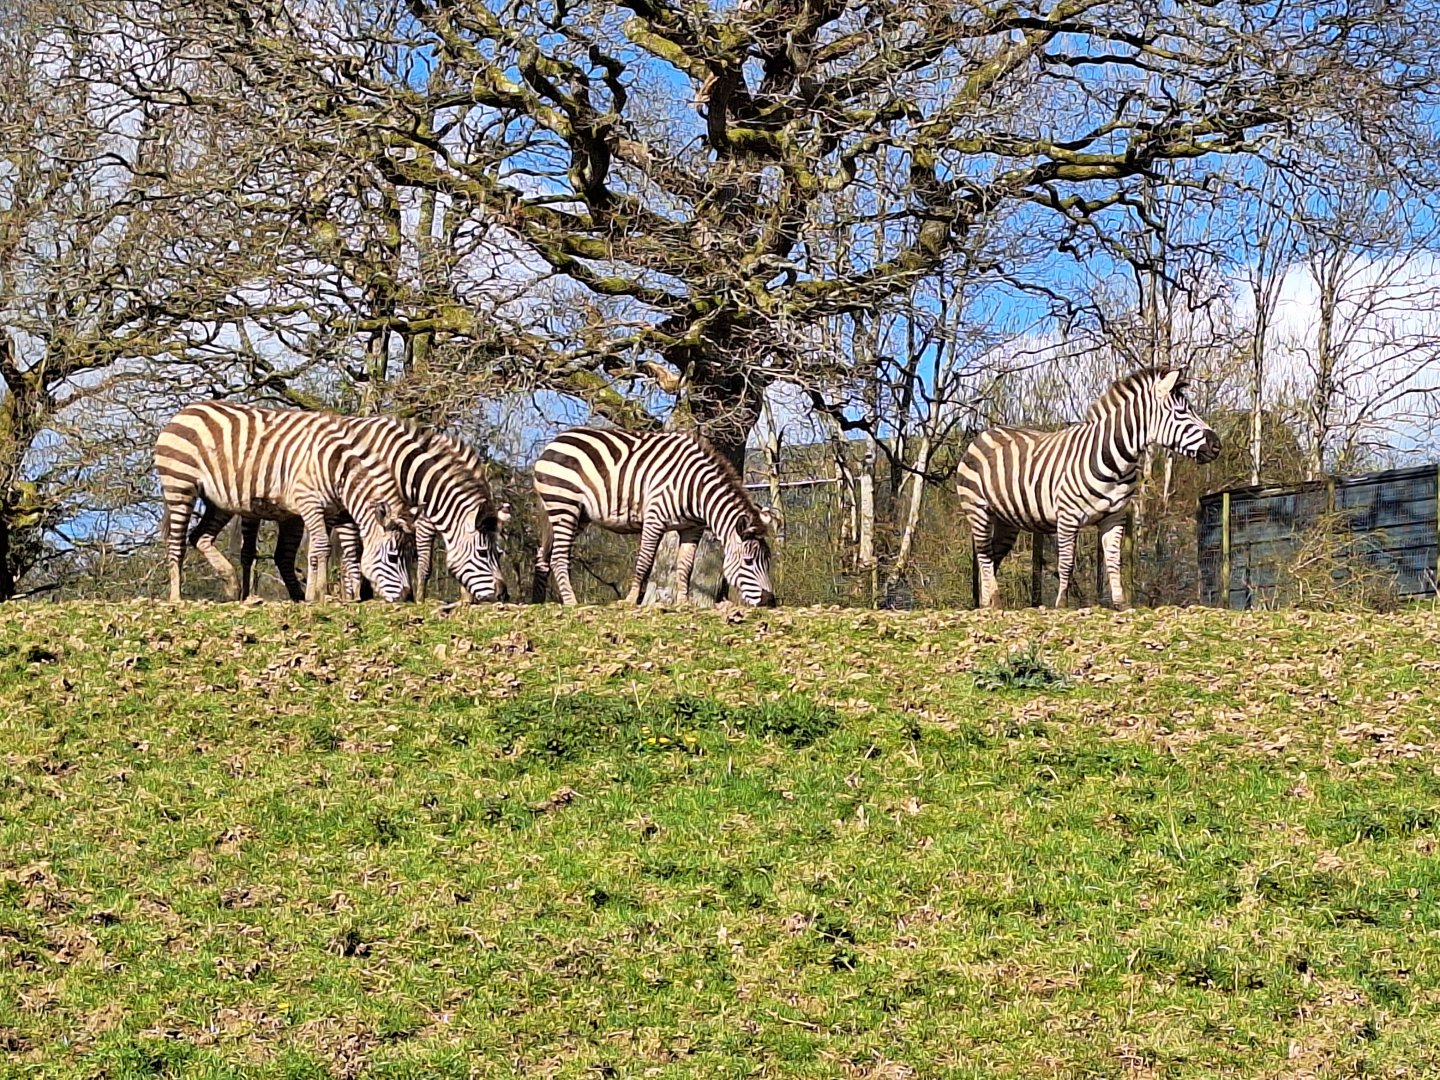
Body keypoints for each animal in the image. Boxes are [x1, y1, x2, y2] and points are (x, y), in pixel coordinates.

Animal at [154, 403, 418, 603]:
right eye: (393, 557)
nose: (407, 597)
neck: (335, 467)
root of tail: (186, 410)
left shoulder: (324, 511)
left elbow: (314, 551)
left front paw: (311, 595)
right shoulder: (309, 502)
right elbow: (322, 546)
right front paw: (321, 594)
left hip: (218, 501)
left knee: (200, 537)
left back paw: (231, 583)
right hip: (180, 486)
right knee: (177, 543)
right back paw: (176, 597)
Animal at [239, 418, 511, 603]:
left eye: (499, 553)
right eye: (483, 552)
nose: (503, 595)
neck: (405, 471)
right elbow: (415, 561)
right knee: (254, 552)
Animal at [531, 427, 777, 607]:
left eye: (768, 562)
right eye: (748, 562)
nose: (770, 602)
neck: (696, 489)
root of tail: (555, 441)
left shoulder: (692, 528)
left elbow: (685, 566)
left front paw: (684, 603)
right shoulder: (654, 519)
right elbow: (645, 561)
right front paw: (631, 601)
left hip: (577, 514)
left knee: (544, 554)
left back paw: (538, 602)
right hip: (564, 505)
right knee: (558, 557)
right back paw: (571, 602)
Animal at [955, 367, 1221, 609]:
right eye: (1181, 412)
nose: (1217, 445)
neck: (1116, 461)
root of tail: (985, 433)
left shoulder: (1114, 517)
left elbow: (1113, 561)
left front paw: (1120, 603)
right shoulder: (1068, 516)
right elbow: (1066, 562)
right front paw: (1061, 604)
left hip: (1006, 520)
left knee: (991, 557)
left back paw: (987, 604)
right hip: (978, 509)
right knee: (984, 554)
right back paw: (995, 601)